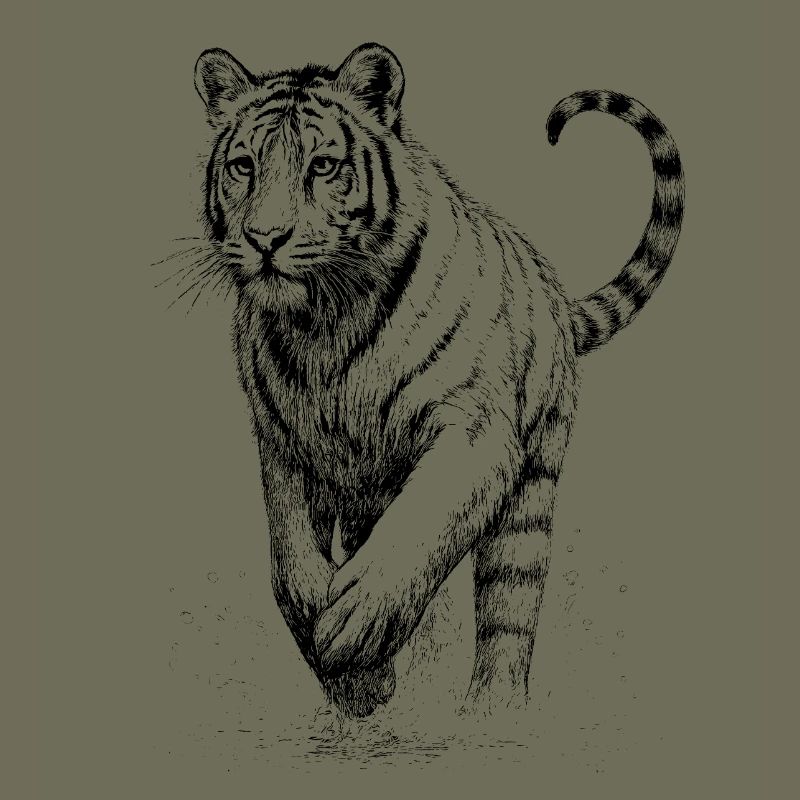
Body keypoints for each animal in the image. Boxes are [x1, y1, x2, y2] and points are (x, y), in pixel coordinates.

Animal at [187, 43, 684, 718]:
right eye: (243, 166)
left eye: (322, 166)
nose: (265, 239)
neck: (323, 323)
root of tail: (555, 294)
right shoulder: (283, 442)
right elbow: (290, 559)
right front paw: (353, 679)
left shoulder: (475, 432)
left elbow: (419, 527)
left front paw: (355, 627)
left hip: (531, 491)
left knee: (509, 607)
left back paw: (491, 713)